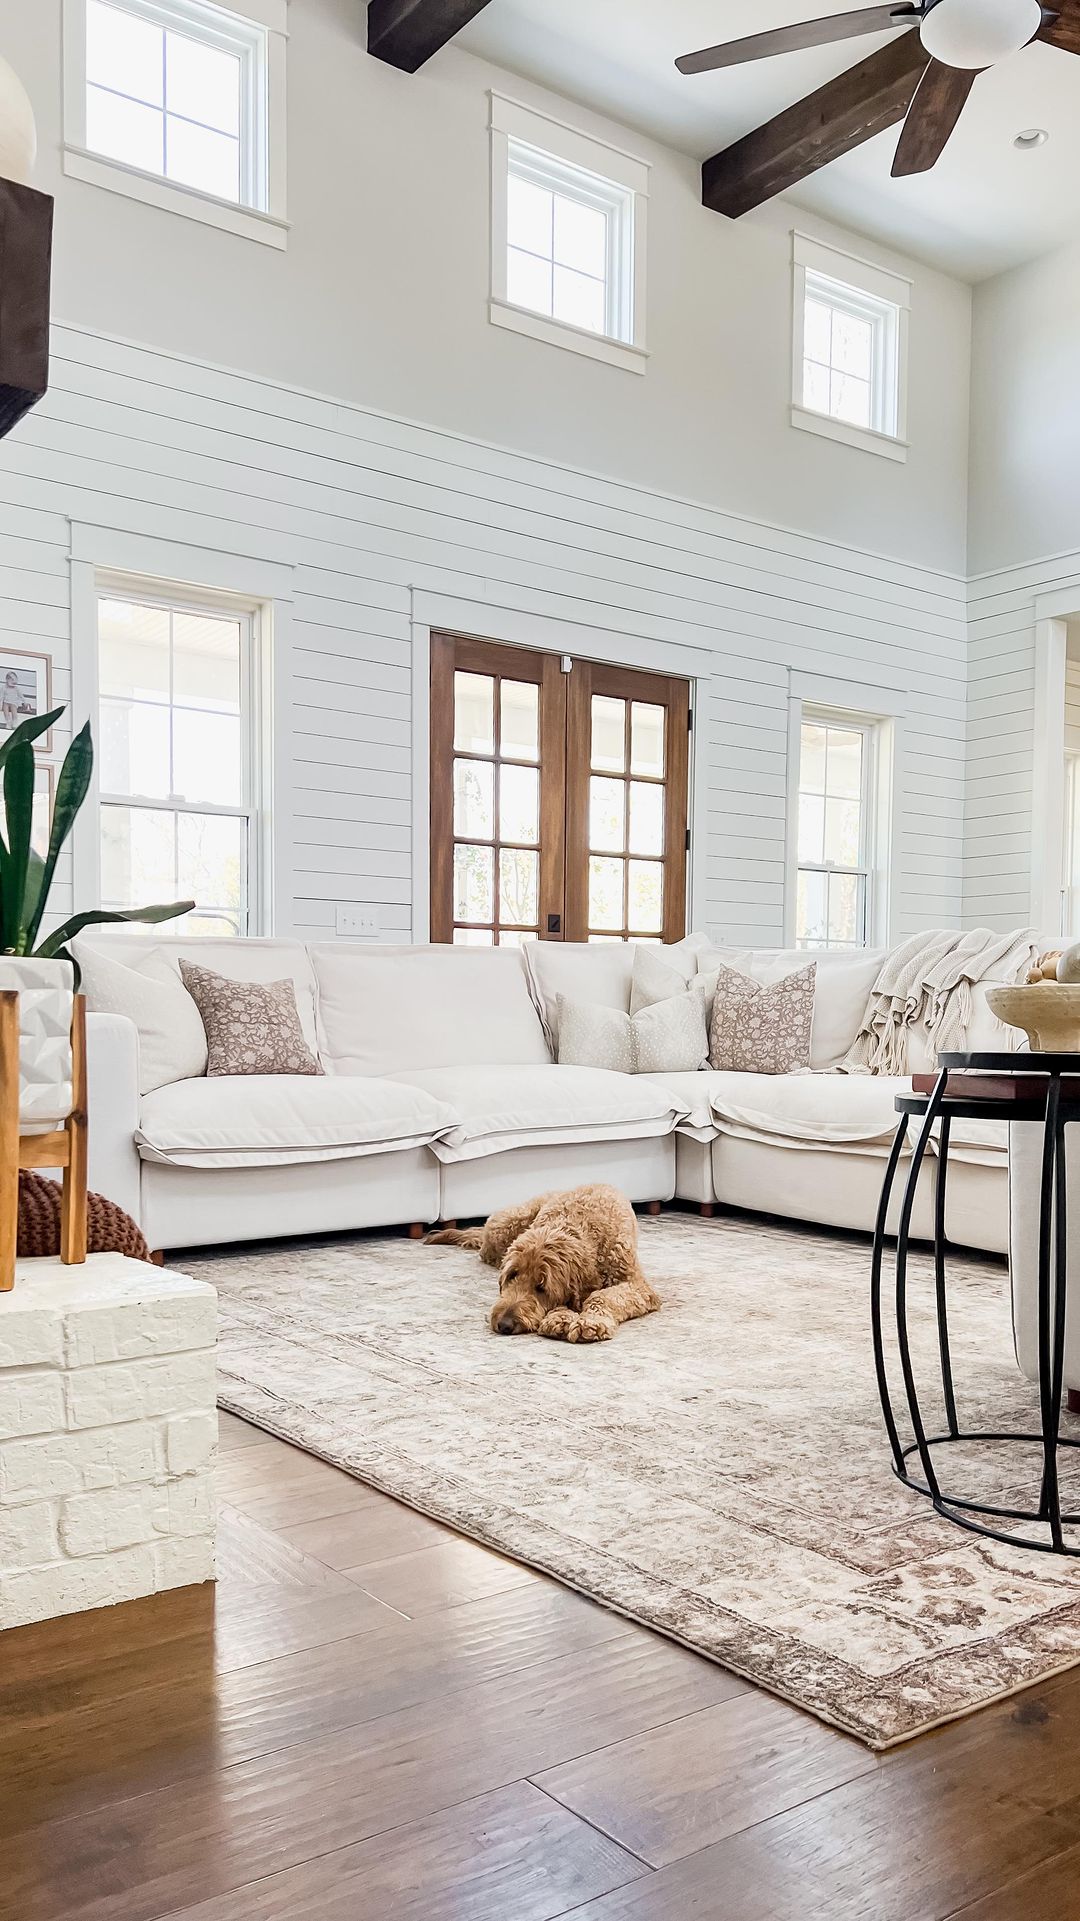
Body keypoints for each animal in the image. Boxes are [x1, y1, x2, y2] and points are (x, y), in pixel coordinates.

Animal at [426, 1183, 661, 1343]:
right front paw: (560, 1318)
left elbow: (602, 1296)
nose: (504, 1324)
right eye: (512, 1276)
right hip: (505, 1226)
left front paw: (590, 1322)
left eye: (541, 1287)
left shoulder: (637, 1286)